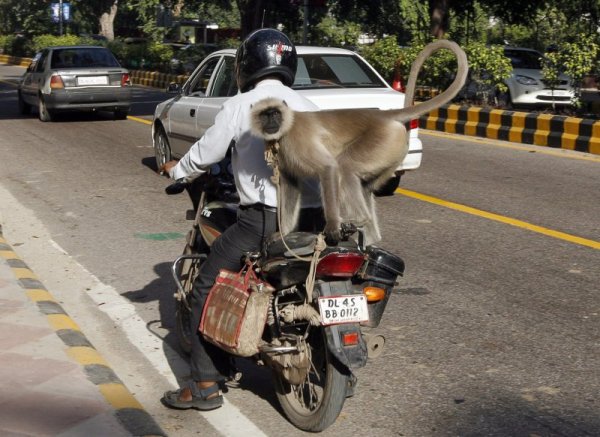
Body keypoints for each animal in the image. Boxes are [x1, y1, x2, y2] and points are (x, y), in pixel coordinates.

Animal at [248, 40, 468, 245]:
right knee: (364, 185)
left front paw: (332, 226)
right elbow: (291, 186)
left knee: (345, 168)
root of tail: (382, 117)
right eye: (265, 115)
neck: (287, 127)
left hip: (381, 140)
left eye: (275, 114)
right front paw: (283, 234)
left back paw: (359, 219)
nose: (272, 123)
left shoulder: (297, 139)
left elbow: (329, 168)